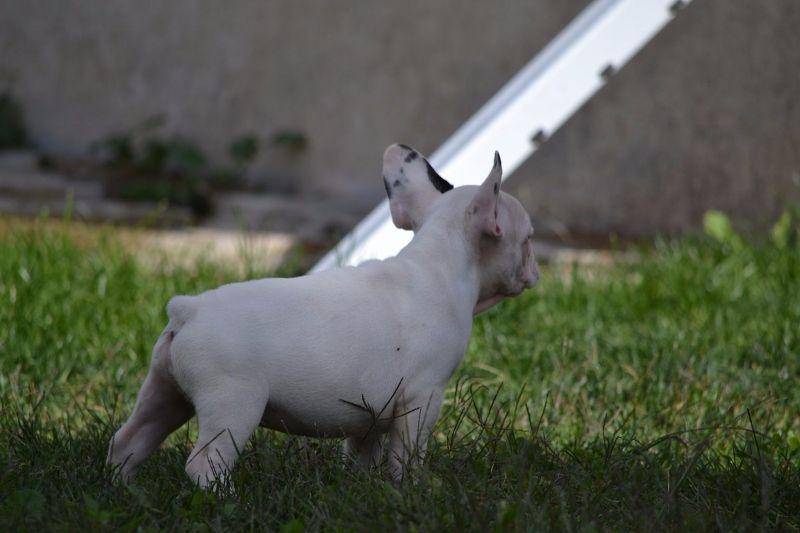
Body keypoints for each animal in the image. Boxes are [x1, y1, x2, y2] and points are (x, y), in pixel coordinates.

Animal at [108, 144, 539, 488]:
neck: (440, 259)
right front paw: (412, 489)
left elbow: (364, 456)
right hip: (232, 402)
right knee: (205, 464)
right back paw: (222, 499)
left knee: (130, 439)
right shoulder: (422, 398)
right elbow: (407, 456)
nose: (535, 270)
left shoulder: (370, 415)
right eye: (529, 240)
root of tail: (189, 310)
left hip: (164, 390)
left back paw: (123, 490)